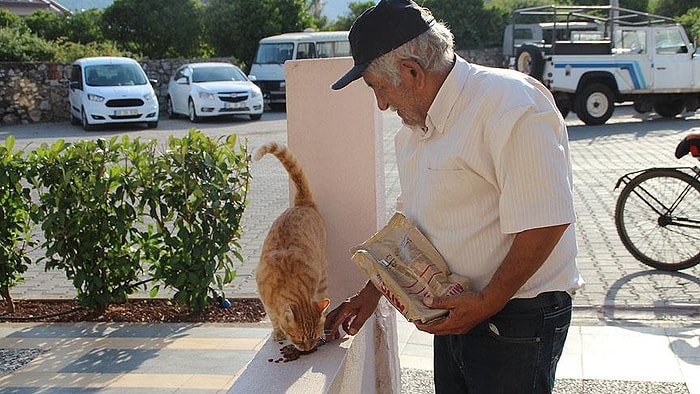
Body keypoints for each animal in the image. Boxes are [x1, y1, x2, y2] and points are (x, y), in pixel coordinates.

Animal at [254, 142, 330, 350]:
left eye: (314, 337)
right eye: (300, 339)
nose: (308, 348)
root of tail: (303, 203)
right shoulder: (264, 297)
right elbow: (273, 317)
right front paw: (277, 332)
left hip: (323, 270)